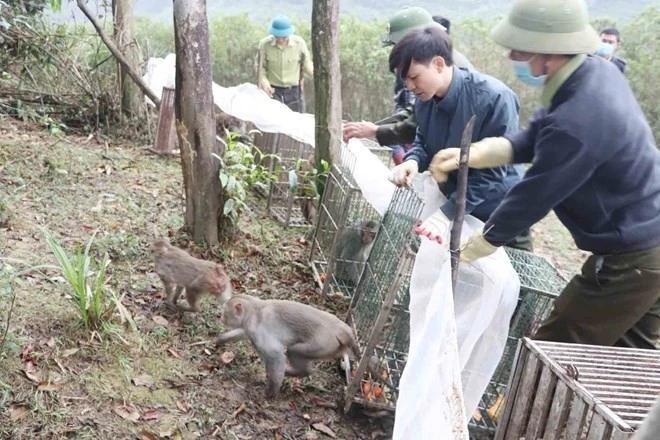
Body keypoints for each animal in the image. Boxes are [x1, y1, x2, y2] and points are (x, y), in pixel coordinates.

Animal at [215, 294, 360, 398]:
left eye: (224, 313)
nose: (220, 318)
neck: (254, 311)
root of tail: (343, 329)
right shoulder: (250, 328)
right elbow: (243, 333)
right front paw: (220, 340)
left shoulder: (259, 329)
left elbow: (276, 354)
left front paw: (271, 392)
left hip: (324, 343)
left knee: (293, 351)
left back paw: (297, 371)